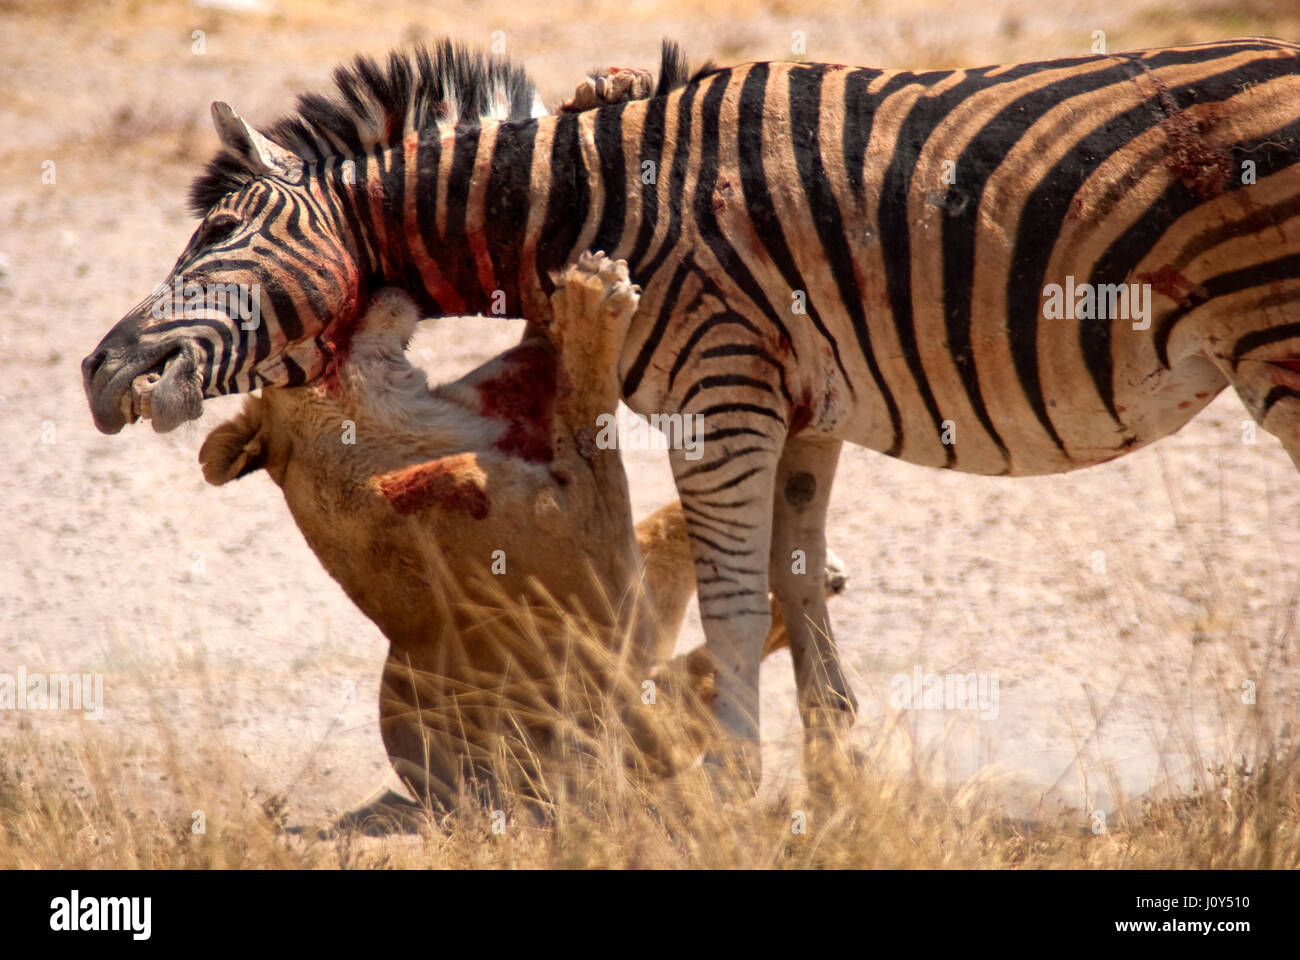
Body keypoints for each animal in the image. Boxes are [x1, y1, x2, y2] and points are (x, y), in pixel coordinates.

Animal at [83, 36, 1300, 787]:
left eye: (216, 235)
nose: (95, 373)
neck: (593, 201)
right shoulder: (801, 407)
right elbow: (797, 587)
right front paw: (837, 788)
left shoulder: (723, 397)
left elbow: (729, 602)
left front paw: (737, 787)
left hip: (1275, 341)